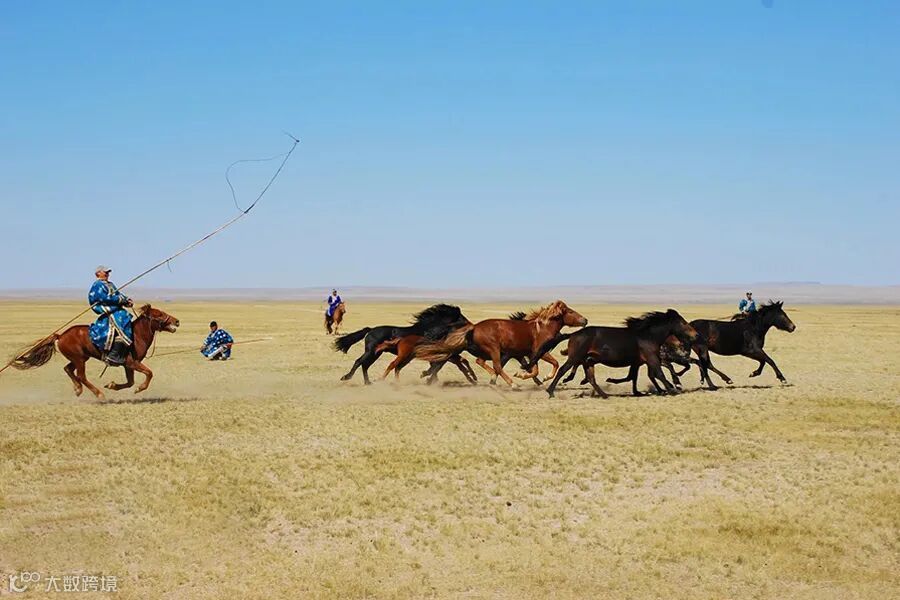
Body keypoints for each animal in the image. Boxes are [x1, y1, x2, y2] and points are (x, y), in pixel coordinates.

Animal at [9, 304, 180, 400]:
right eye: (159, 314)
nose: (176, 321)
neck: (136, 336)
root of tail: (61, 335)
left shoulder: (127, 365)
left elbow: (130, 382)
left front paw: (112, 385)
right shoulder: (132, 362)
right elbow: (149, 373)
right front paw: (140, 388)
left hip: (81, 358)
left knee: (68, 369)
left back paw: (78, 389)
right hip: (79, 359)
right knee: (81, 376)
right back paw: (98, 394)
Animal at [334, 304, 470, 384]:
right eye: (462, 318)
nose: (470, 324)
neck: (429, 330)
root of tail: (370, 330)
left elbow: (438, 366)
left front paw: (430, 379)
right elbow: (436, 367)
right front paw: (428, 378)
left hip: (376, 353)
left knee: (365, 365)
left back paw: (368, 382)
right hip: (371, 351)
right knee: (359, 362)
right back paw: (347, 377)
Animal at [415, 300, 588, 387]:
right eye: (570, 311)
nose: (585, 320)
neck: (542, 328)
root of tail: (473, 327)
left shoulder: (528, 354)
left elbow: (533, 368)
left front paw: (527, 376)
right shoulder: (539, 351)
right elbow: (552, 364)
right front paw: (541, 378)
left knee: (480, 362)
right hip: (493, 349)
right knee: (494, 366)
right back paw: (510, 383)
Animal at [526, 309, 700, 398]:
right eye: (683, 322)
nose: (696, 335)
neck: (647, 336)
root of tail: (574, 334)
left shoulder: (641, 362)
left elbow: (642, 376)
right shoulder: (652, 359)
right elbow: (660, 374)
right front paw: (673, 389)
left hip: (588, 360)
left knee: (591, 378)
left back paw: (604, 394)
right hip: (576, 357)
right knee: (563, 370)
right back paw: (550, 392)